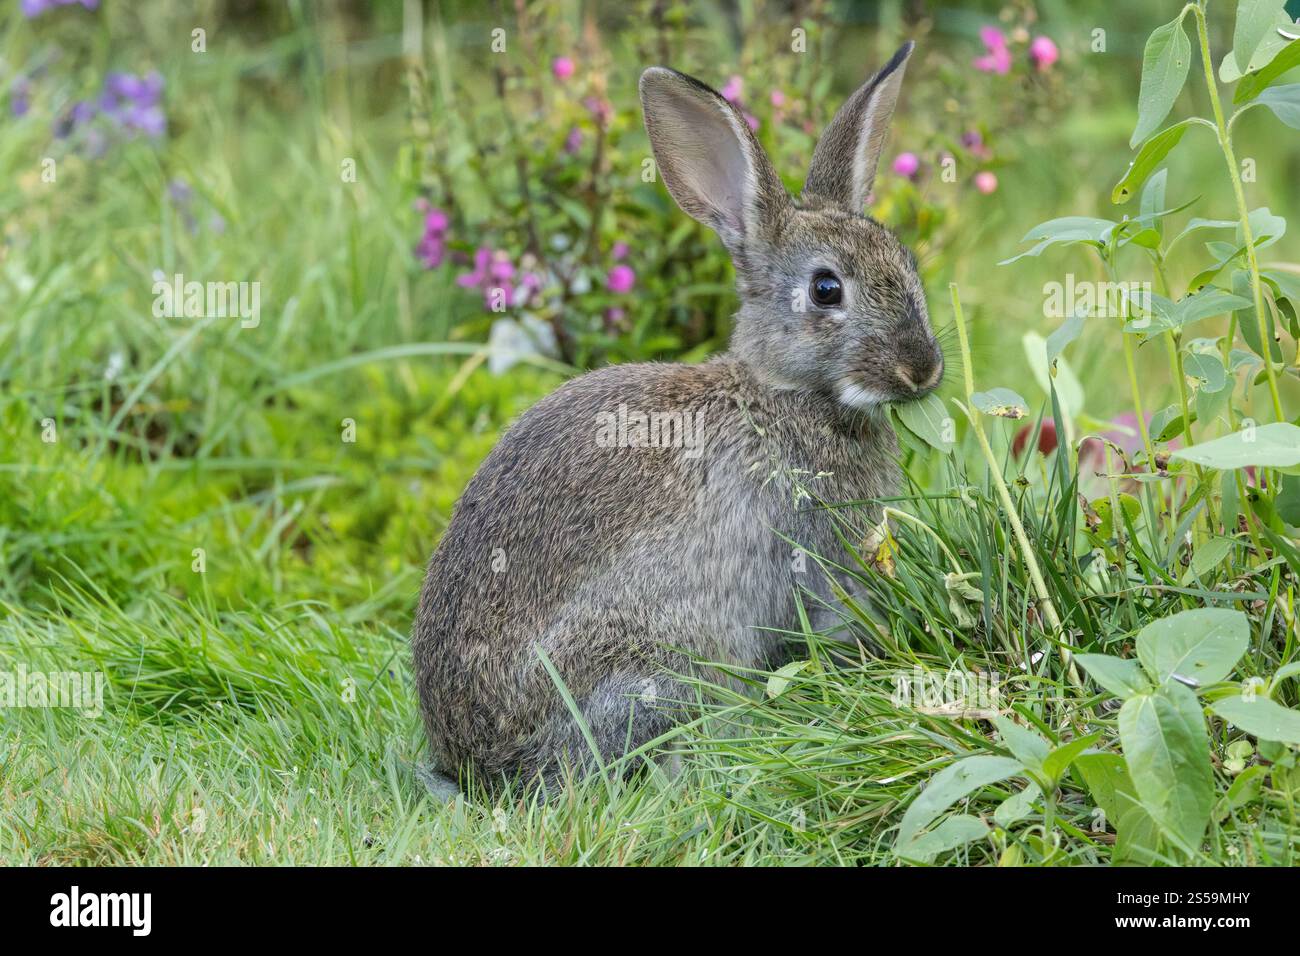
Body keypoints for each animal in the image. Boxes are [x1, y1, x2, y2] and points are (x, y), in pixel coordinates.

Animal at [412, 41, 943, 792]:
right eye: (825, 289)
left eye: (907, 264)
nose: (921, 369)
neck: (779, 394)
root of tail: (479, 767)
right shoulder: (813, 559)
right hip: (652, 662)